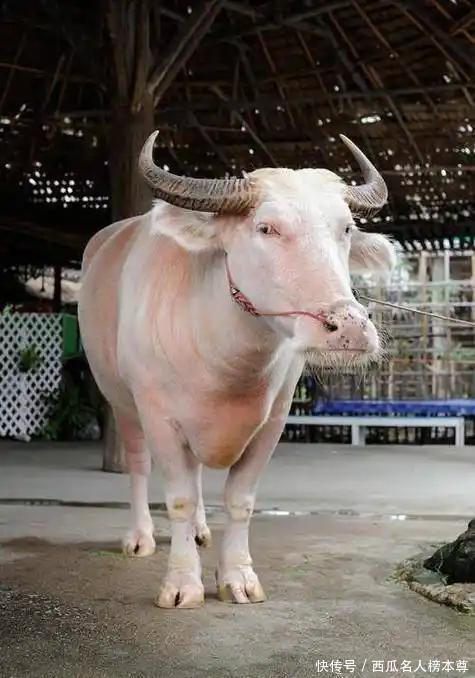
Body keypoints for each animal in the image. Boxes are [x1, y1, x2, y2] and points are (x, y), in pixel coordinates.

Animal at [78, 133, 396, 608]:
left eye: (345, 229)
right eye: (267, 228)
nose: (350, 328)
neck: (226, 361)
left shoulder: (273, 421)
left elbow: (239, 499)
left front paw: (238, 577)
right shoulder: (158, 416)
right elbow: (178, 498)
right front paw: (182, 583)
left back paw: (200, 533)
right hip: (120, 402)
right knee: (138, 465)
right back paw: (140, 536)